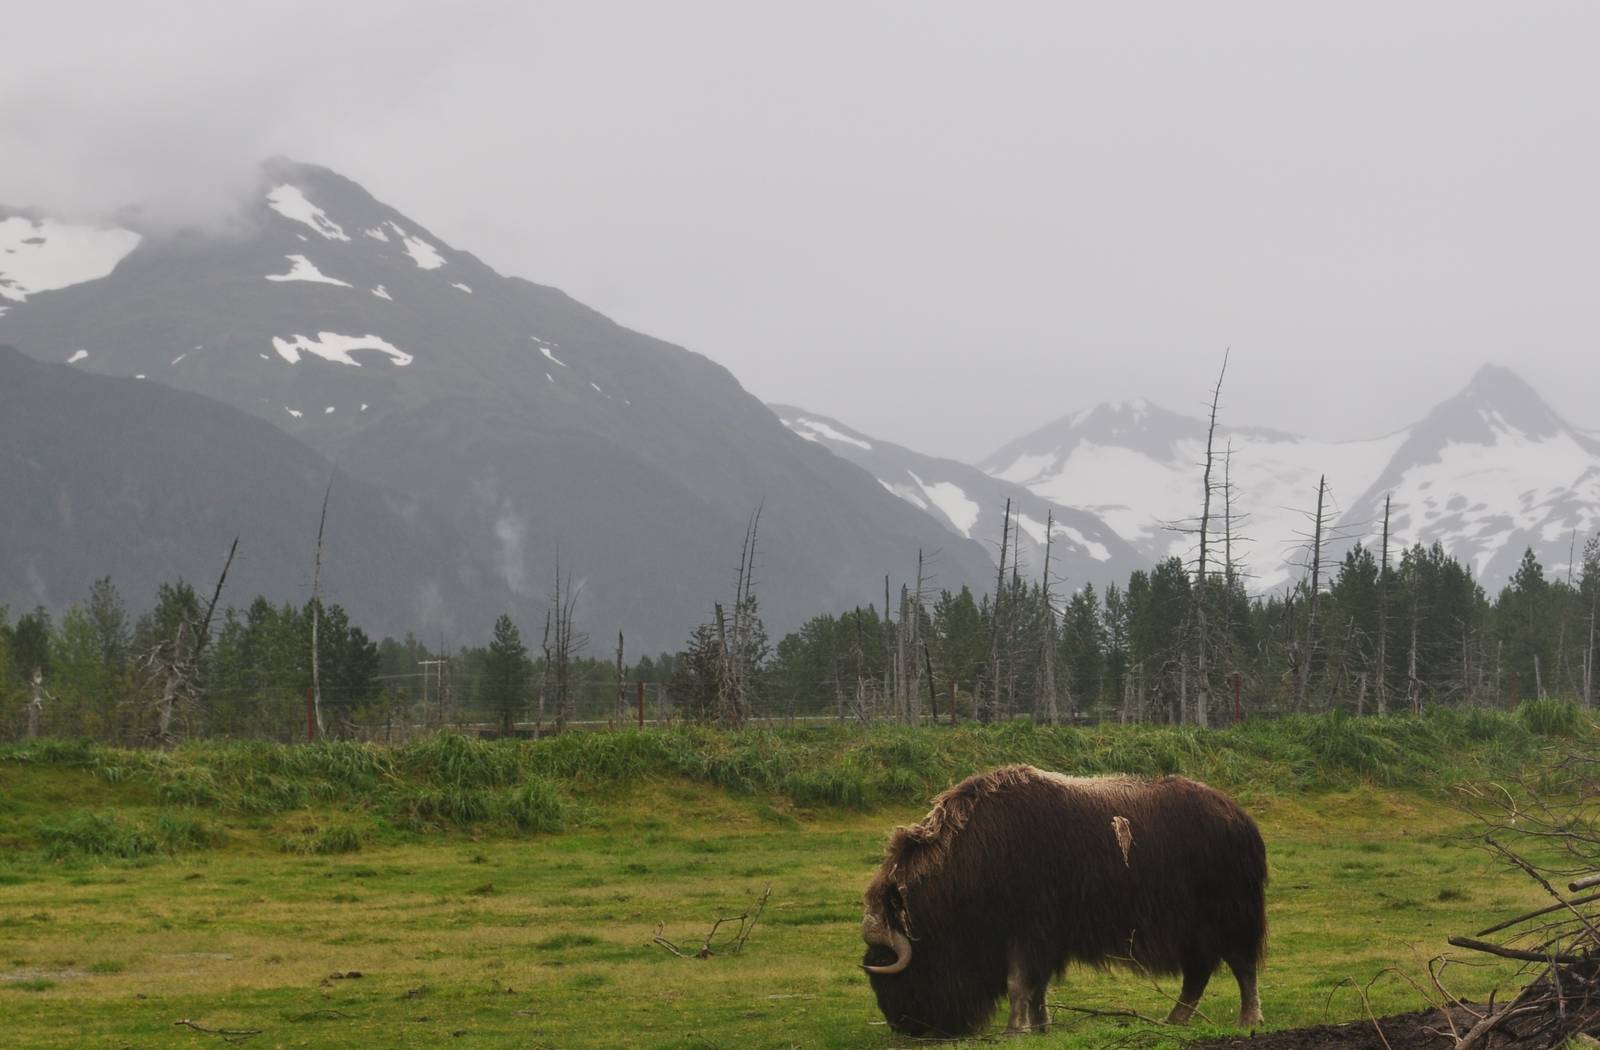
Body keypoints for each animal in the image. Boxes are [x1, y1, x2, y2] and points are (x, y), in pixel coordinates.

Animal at [860, 765, 1267, 1037]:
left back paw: (1248, 1019)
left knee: (1242, 967)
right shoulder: (1043, 939)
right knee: (1198, 974)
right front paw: (1041, 1027)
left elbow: (1018, 982)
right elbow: (1036, 985)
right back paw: (1175, 1019)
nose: (903, 1027)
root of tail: (1239, 818)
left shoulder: (1025, 931)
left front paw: (1015, 1031)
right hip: (1193, 933)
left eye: (886, 967)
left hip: (1230, 918)